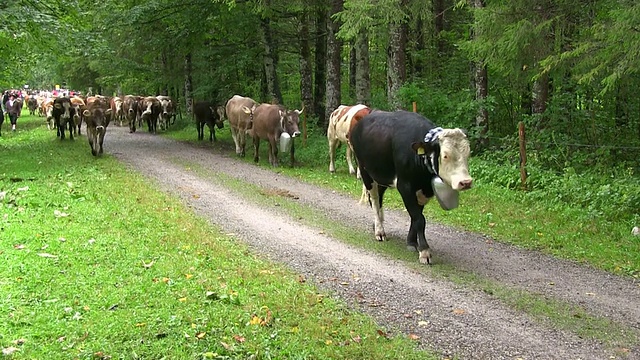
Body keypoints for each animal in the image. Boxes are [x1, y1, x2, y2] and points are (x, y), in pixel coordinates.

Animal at [350, 109, 470, 264]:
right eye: (445, 156)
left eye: (468, 153)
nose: (466, 182)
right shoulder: (405, 186)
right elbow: (419, 219)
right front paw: (424, 251)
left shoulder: (425, 191)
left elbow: (416, 216)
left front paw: (412, 242)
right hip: (365, 172)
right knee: (375, 200)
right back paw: (379, 231)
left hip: (382, 174)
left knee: (379, 198)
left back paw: (377, 224)